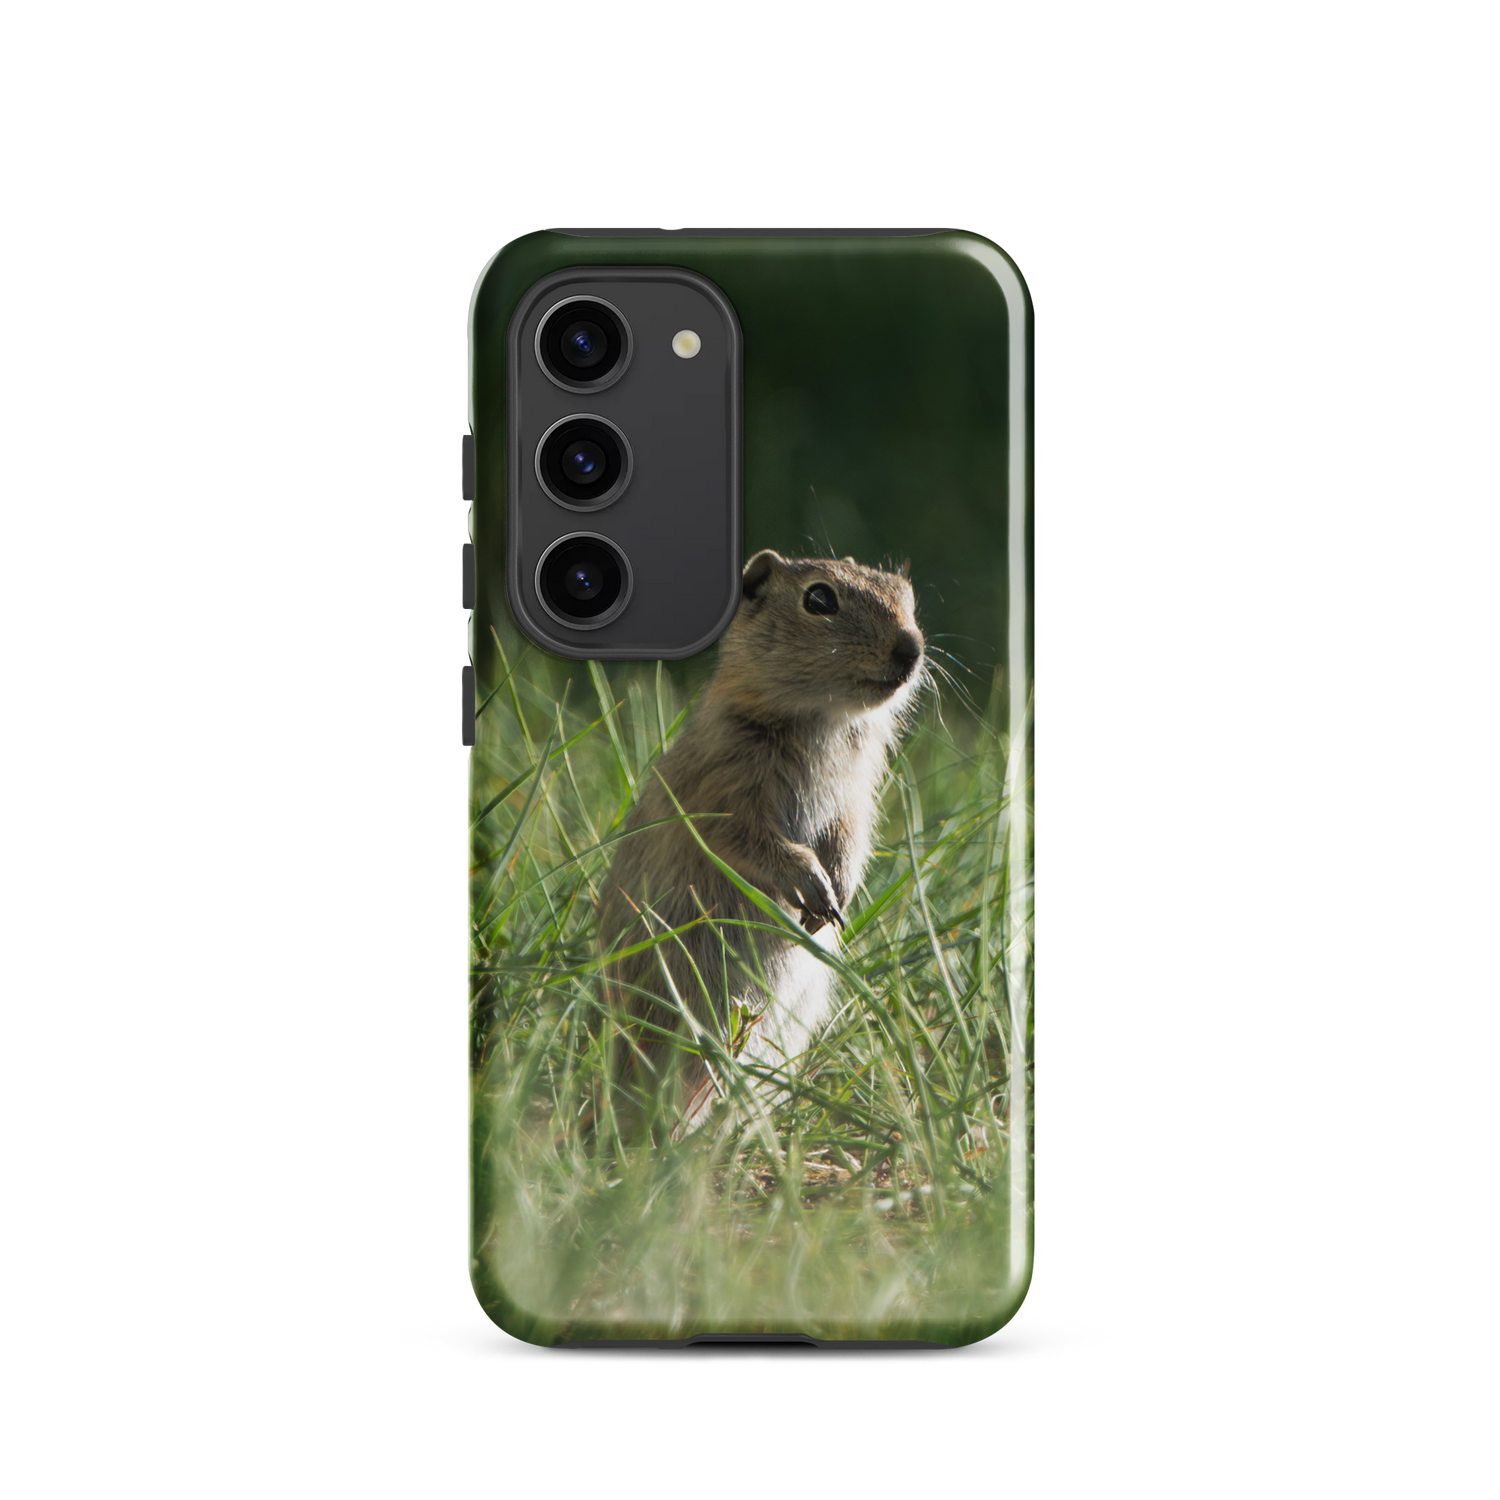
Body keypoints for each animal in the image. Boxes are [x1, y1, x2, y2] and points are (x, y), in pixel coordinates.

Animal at [598, 549, 926, 1141]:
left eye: (907, 599)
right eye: (819, 598)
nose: (910, 650)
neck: (823, 720)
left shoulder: (857, 797)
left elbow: (851, 839)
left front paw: (835, 900)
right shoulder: (725, 791)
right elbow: (753, 840)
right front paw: (814, 889)